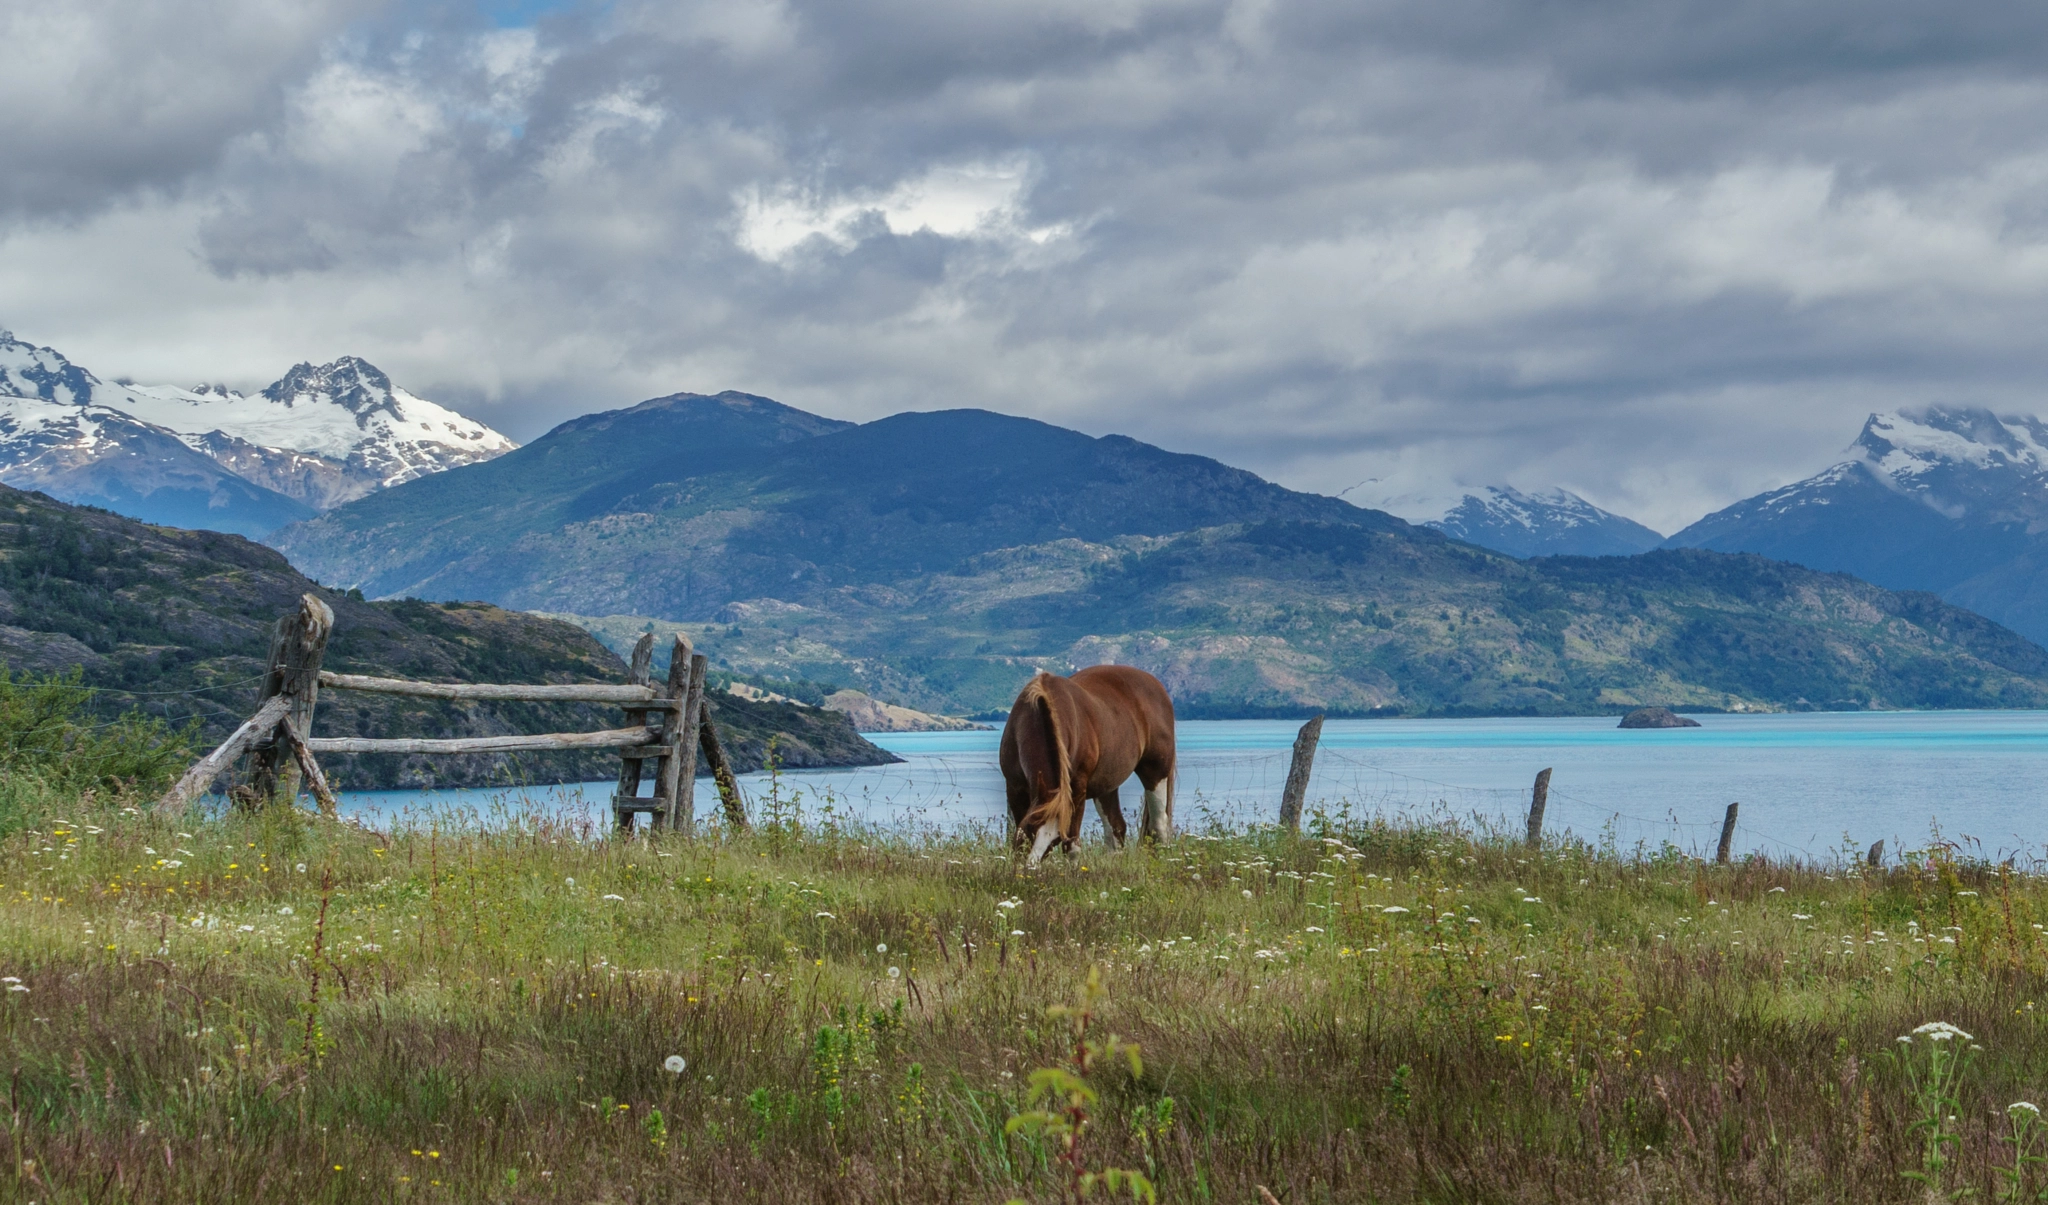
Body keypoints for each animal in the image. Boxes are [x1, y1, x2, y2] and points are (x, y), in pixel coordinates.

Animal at [999, 668, 1179, 864]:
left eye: (1054, 840)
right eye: (1029, 830)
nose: (1029, 868)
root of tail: (1157, 686)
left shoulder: (1076, 790)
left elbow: (1072, 845)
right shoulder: (1015, 788)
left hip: (1156, 772)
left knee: (1159, 825)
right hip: (1107, 784)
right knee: (1116, 828)